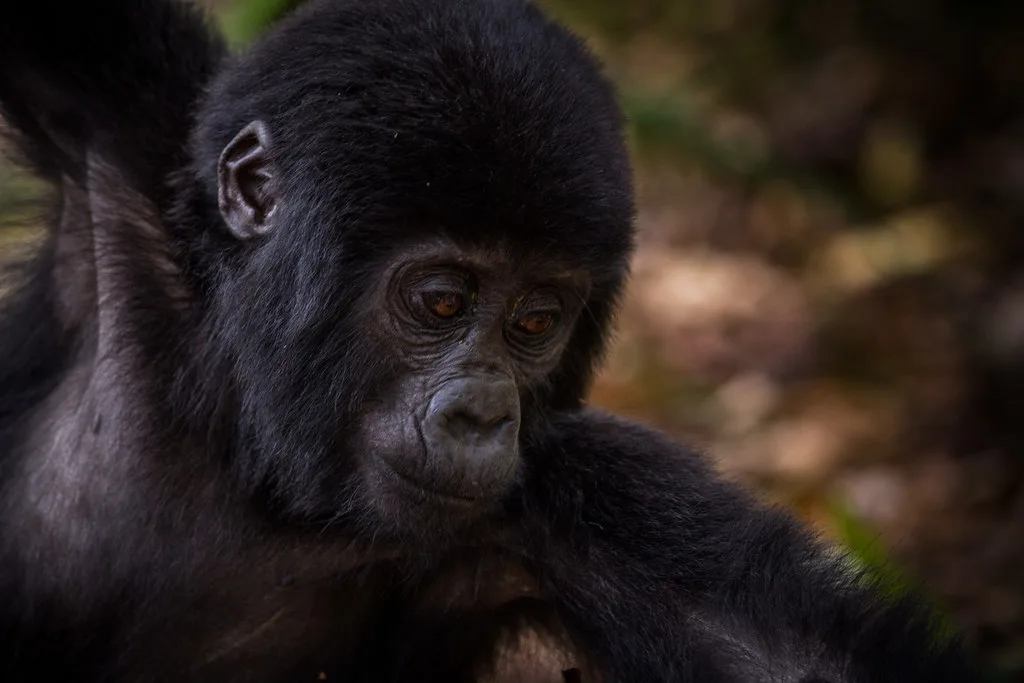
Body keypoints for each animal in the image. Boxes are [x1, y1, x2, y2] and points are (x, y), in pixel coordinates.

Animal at [0, 1, 978, 683]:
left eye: (536, 321)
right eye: (441, 301)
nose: (482, 413)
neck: (252, 451)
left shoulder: (573, 496)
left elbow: (788, 658)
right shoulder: (129, 136)